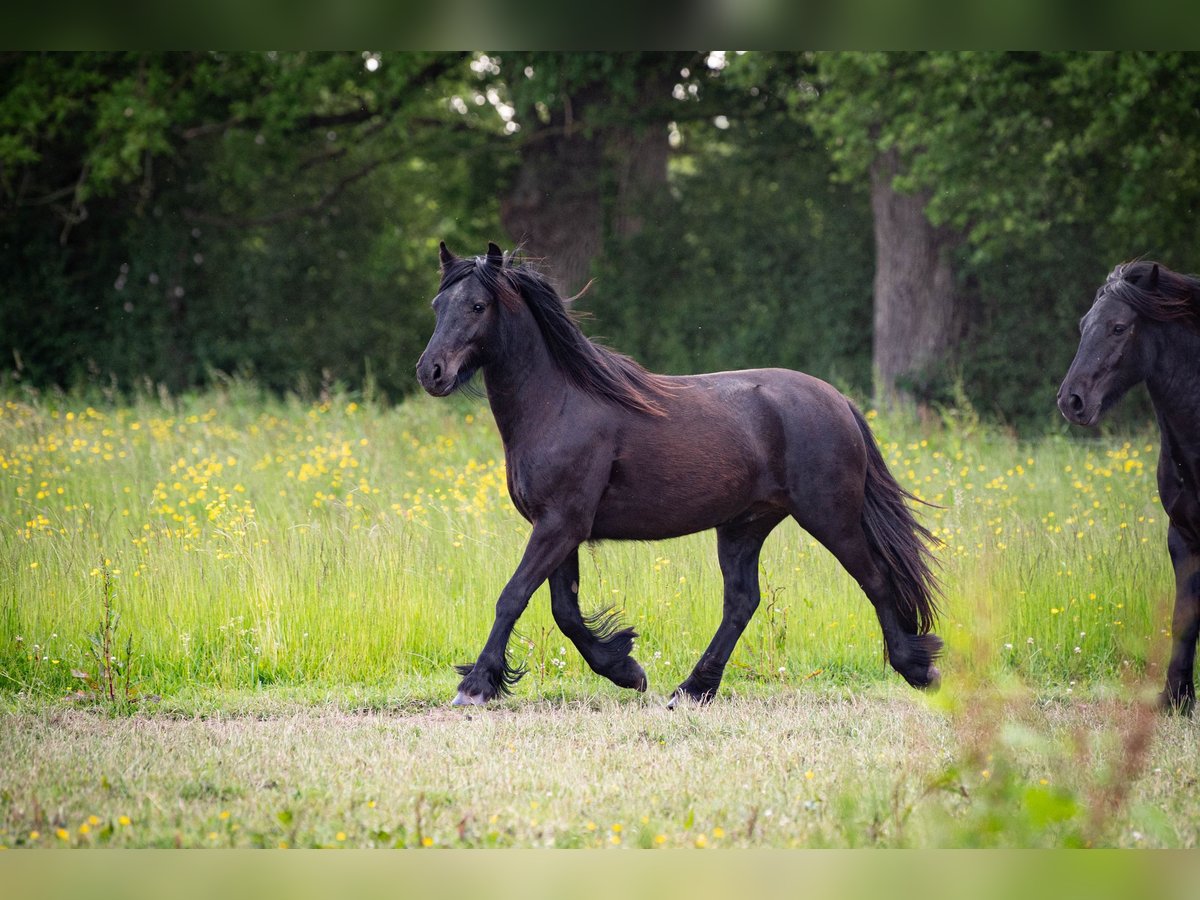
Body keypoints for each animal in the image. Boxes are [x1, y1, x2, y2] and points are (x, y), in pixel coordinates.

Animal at [416, 242, 942, 706]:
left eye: (478, 305)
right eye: (437, 305)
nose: (431, 372)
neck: (558, 404)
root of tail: (839, 402)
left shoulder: (560, 525)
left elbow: (513, 597)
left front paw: (475, 685)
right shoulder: (558, 527)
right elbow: (563, 611)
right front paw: (626, 670)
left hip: (829, 517)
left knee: (875, 579)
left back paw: (918, 669)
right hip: (744, 526)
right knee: (742, 602)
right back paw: (693, 689)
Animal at [1058, 260, 1200, 714]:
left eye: (1119, 327)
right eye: (1084, 324)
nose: (1072, 401)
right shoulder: (1182, 536)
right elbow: (1184, 618)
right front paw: (1175, 698)